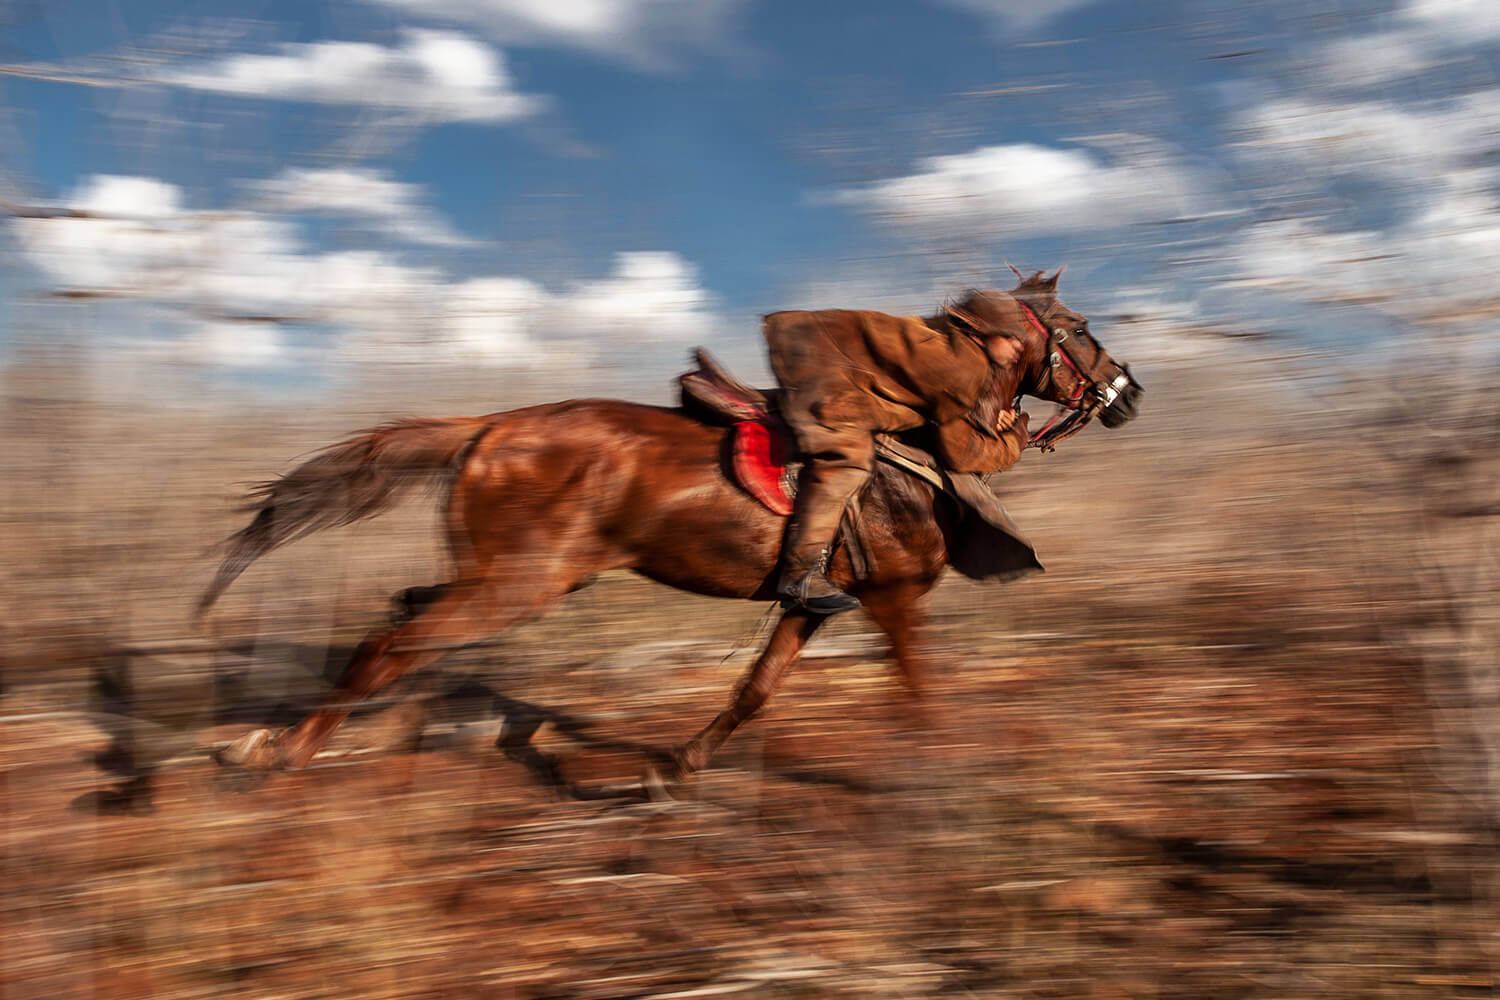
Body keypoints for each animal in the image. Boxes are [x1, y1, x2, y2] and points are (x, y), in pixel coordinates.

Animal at [199, 280, 1134, 779]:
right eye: (1083, 331)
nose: (1129, 391)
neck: (917, 448)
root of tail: (488, 427)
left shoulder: (812, 602)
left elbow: (755, 690)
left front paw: (676, 771)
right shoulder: (894, 597)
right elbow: (920, 691)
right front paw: (948, 778)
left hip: (511, 576)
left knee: (403, 617)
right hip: (519, 585)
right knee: (393, 643)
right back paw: (282, 751)